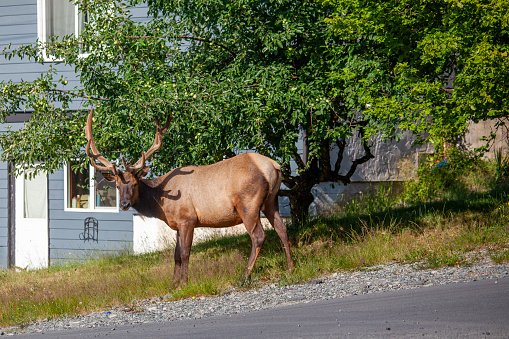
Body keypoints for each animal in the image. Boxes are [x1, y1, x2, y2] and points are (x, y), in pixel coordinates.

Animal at [86, 109, 296, 284]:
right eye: (117, 185)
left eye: (135, 184)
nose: (124, 204)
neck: (161, 203)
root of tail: (274, 166)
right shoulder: (178, 223)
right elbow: (176, 254)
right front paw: (173, 284)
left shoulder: (188, 218)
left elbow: (186, 253)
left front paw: (184, 283)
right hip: (271, 200)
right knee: (282, 229)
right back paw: (290, 268)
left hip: (248, 204)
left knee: (259, 236)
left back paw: (244, 275)